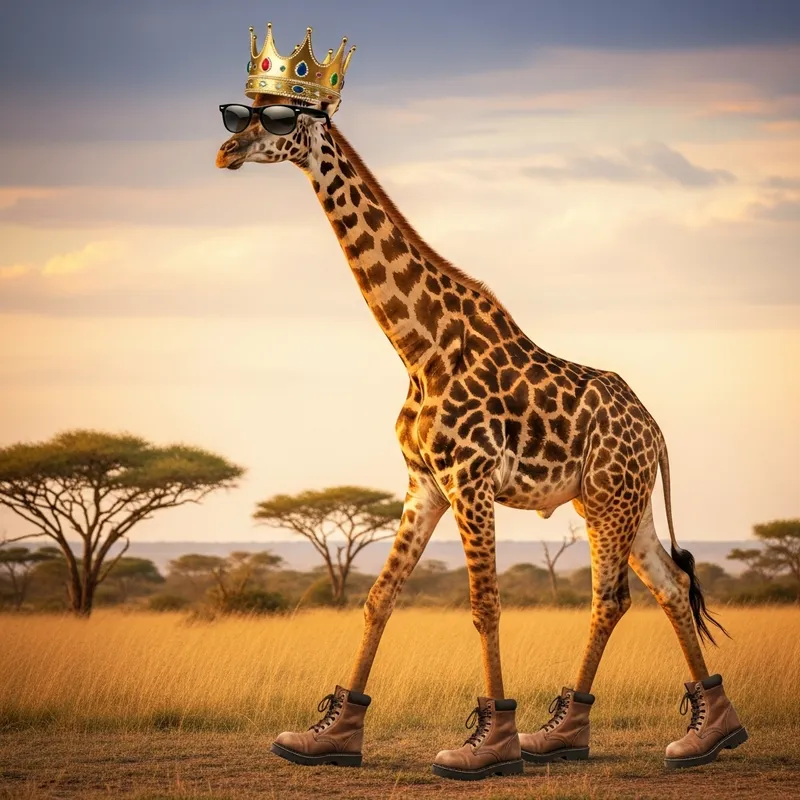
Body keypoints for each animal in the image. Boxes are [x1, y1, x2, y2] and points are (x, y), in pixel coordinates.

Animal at [215, 25, 748, 779]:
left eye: (282, 118)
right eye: (240, 111)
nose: (226, 150)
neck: (418, 345)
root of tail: (656, 430)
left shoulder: (470, 481)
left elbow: (485, 606)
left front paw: (488, 745)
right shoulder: (424, 484)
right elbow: (379, 598)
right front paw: (329, 736)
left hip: (609, 500)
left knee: (610, 597)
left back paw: (581, 733)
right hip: (622, 502)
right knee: (670, 587)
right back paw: (696, 734)